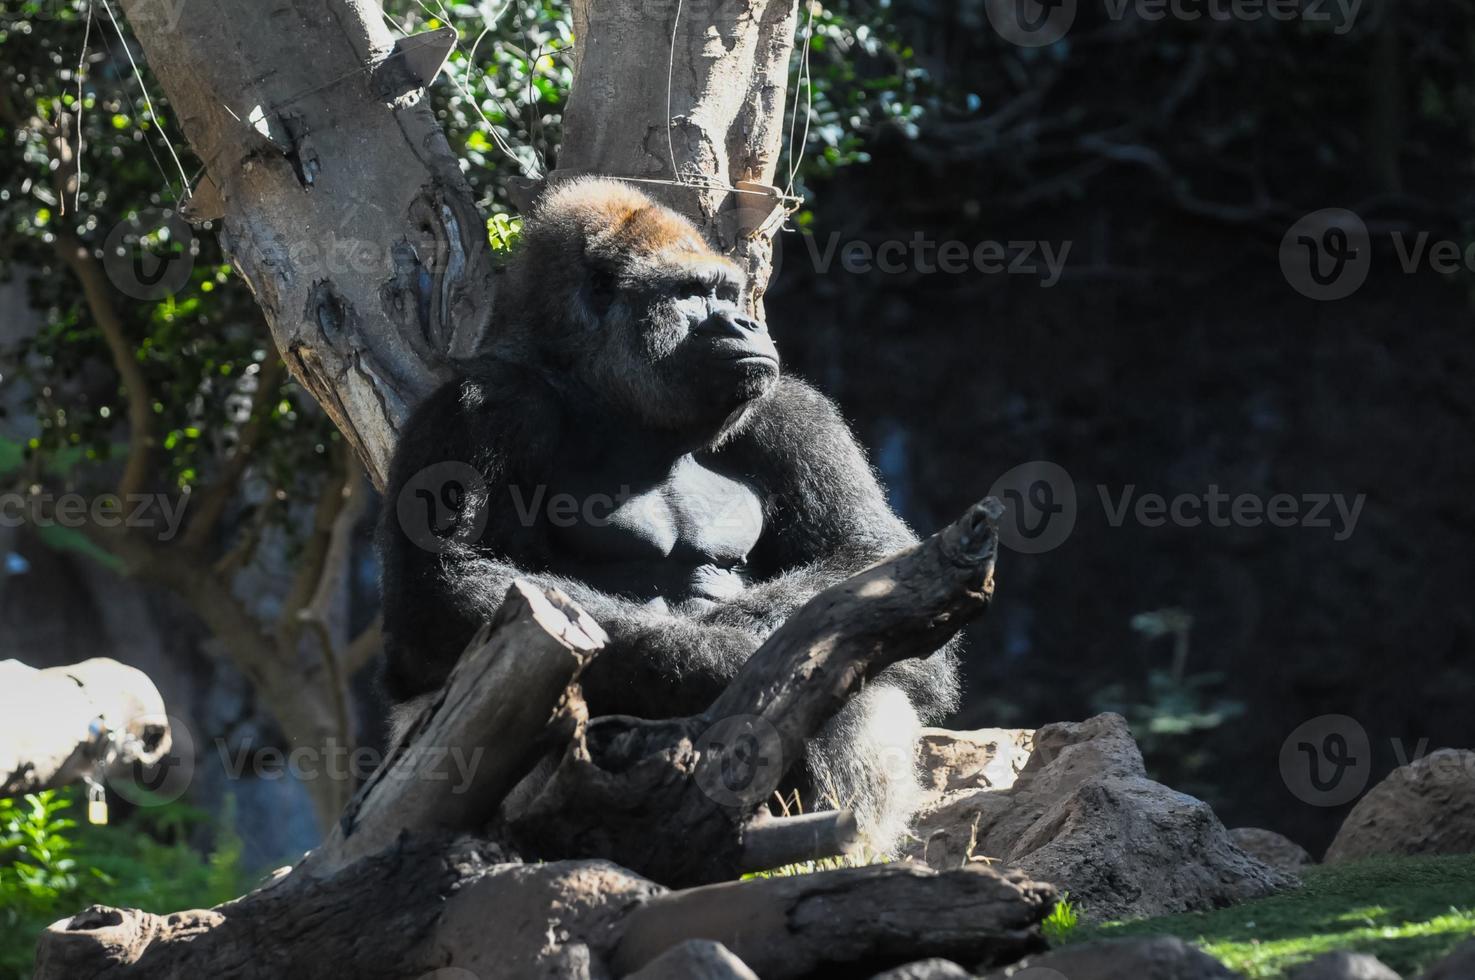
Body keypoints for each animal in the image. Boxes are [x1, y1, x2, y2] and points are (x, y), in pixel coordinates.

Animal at [374, 177, 961, 850]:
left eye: (726, 292)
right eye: (690, 294)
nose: (746, 320)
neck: (597, 388)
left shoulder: (792, 409)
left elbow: (872, 560)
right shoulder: (477, 408)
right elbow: (446, 590)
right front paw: (731, 655)